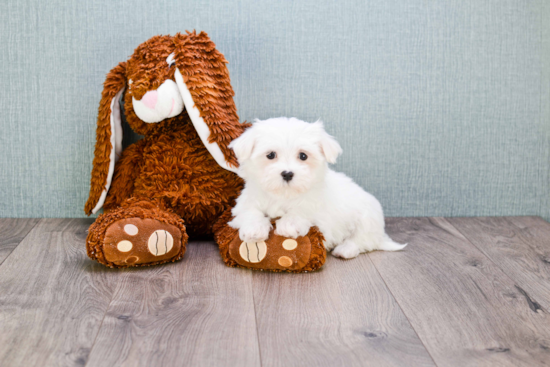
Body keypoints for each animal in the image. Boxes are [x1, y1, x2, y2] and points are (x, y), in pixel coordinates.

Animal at [229, 118, 406, 258]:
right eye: (270, 155)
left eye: (303, 156)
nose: (287, 173)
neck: (284, 194)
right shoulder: (246, 201)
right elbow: (250, 212)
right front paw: (254, 229)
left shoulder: (317, 208)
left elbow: (303, 209)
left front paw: (289, 225)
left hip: (367, 219)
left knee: (361, 240)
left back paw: (345, 250)